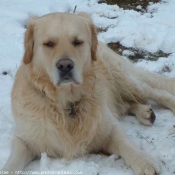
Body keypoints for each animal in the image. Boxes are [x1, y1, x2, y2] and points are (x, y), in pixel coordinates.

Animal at [2, 11, 175, 174]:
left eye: (77, 42)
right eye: (49, 44)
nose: (65, 65)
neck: (66, 102)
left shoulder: (109, 128)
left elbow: (126, 144)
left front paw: (144, 161)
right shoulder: (23, 139)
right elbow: (12, 163)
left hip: (125, 79)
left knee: (157, 92)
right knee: (127, 103)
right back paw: (145, 112)